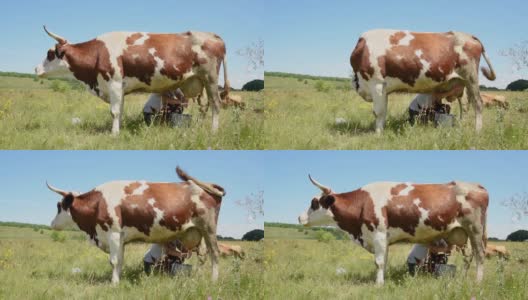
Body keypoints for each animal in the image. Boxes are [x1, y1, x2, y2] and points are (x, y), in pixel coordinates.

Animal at [35, 27, 229, 135]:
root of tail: (212, 35)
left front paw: (113, 134)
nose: (36, 69)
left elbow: (114, 112)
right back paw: (198, 128)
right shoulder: (119, 88)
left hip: (210, 78)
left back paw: (213, 131)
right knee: (204, 107)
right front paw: (118, 130)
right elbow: (119, 111)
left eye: (50, 53)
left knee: (216, 104)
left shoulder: (113, 83)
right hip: (200, 81)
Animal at [47, 166, 225, 284]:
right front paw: (117, 281)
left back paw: (214, 281)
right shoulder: (121, 238)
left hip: (209, 229)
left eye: (59, 206)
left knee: (215, 254)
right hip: (198, 232)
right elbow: (120, 260)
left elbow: (113, 261)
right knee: (202, 256)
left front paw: (113, 284)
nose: (51, 224)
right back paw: (197, 278)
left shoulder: (113, 233)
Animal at [300, 177, 488, 284]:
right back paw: (463, 279)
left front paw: (378, 285)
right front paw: (382, 280)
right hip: (461, 233)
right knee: (468, 258)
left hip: (475, 230)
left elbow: (378, 262)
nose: (300, 218)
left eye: (314, 202)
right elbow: (384, 261)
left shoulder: (378, 234)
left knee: (480, 255)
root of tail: (477, 186)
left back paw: (477, 282)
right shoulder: (384, 239)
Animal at [350, 29, 496, 132]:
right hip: (462, 83)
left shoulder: (377, 83)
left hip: (471, 78)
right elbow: (384, 111)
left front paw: (378, 134)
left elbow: (378, 112)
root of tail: (469, 36)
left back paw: (477, 131)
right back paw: (461, 125)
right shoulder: (383, 89)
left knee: (478, 103)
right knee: (465, 105)